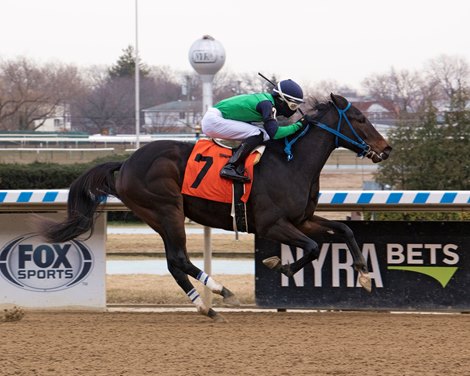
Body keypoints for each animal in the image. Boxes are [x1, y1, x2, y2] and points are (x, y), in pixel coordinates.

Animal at [39, 93, 392, 320]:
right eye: (361, 118)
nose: (386, 148)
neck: (292, 163)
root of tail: (125, 162)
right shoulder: (273, 224)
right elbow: (313, 247)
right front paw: (282, 266)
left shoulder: (302, 219)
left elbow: (344, 230)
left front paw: (364, 276)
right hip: (167, 210)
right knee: (179, 258)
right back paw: (221, 292)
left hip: (159, 216)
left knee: (173, 262)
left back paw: (205, 306)